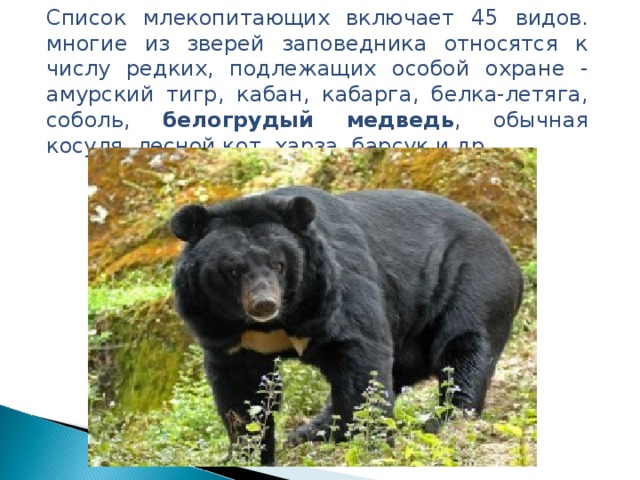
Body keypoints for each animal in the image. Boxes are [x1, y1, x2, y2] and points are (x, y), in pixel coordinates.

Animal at [169, 186, 523, 466]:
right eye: (233, 270)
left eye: (278, 264)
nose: (263, 304)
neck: (276, 324)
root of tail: (510, 255)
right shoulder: (219, 327)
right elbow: (242, 392)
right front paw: (246, 453)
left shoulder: (335, 289)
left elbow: (360, 356)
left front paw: (371, 442)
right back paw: (310, 431)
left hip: (473, 283)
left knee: (463, 350)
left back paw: (446, 420)